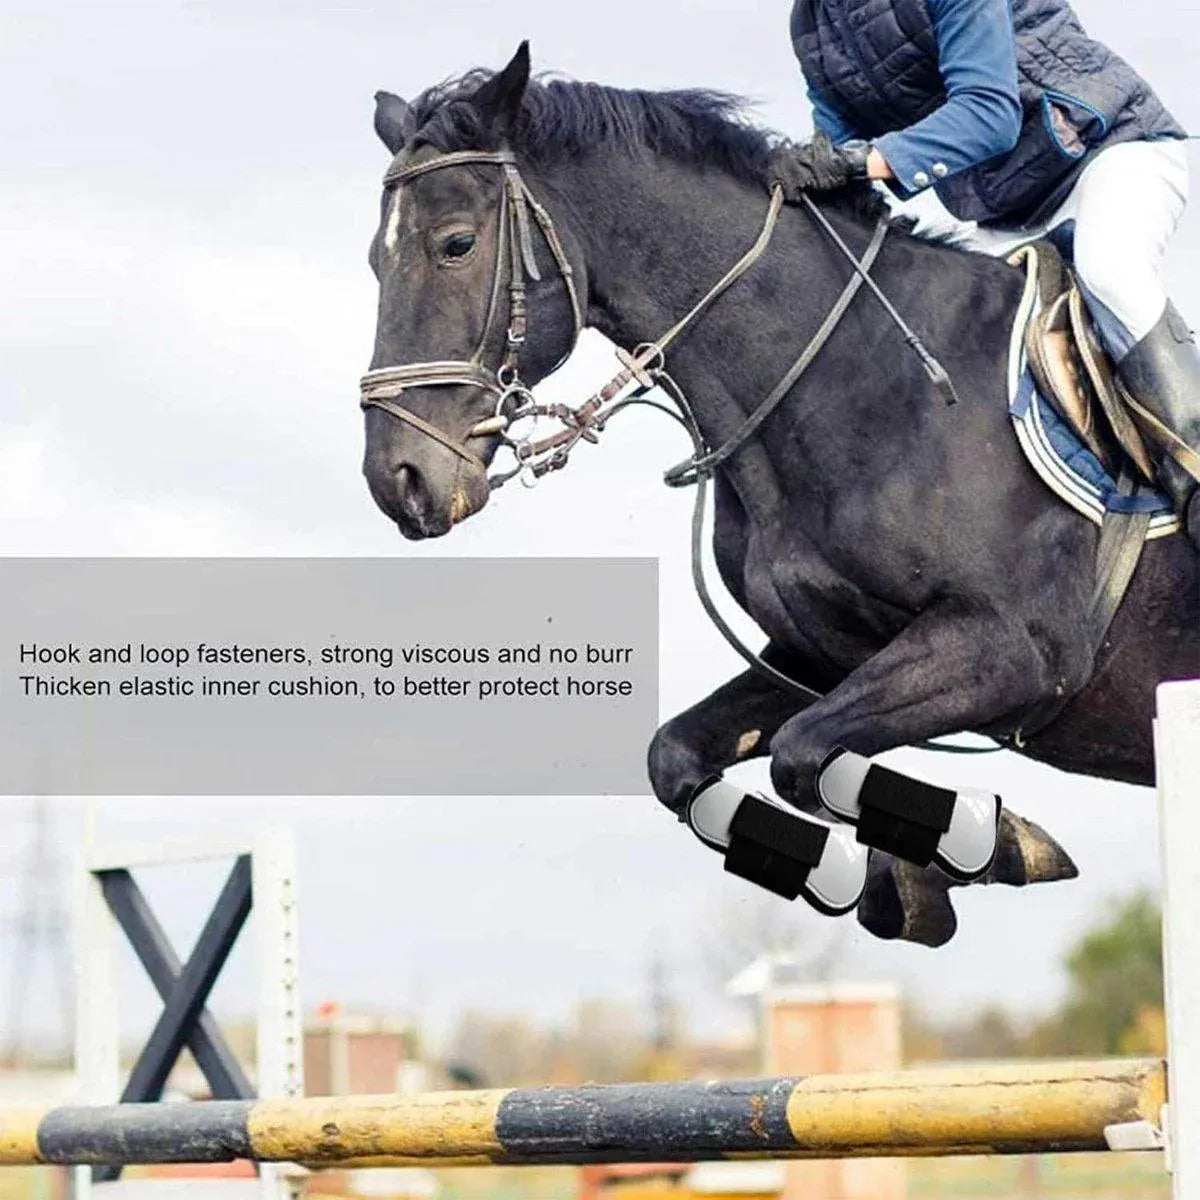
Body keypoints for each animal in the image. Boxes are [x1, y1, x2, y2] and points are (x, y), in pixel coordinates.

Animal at [358, 44, 1199, 946]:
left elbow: (803, 754)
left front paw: (986, 843)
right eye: (376, 260)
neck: (854, 378)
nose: (400, 481)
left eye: (455, 244)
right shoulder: (818, 656)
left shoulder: (1013, 648)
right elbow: (690, 756)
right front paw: (908, 871)